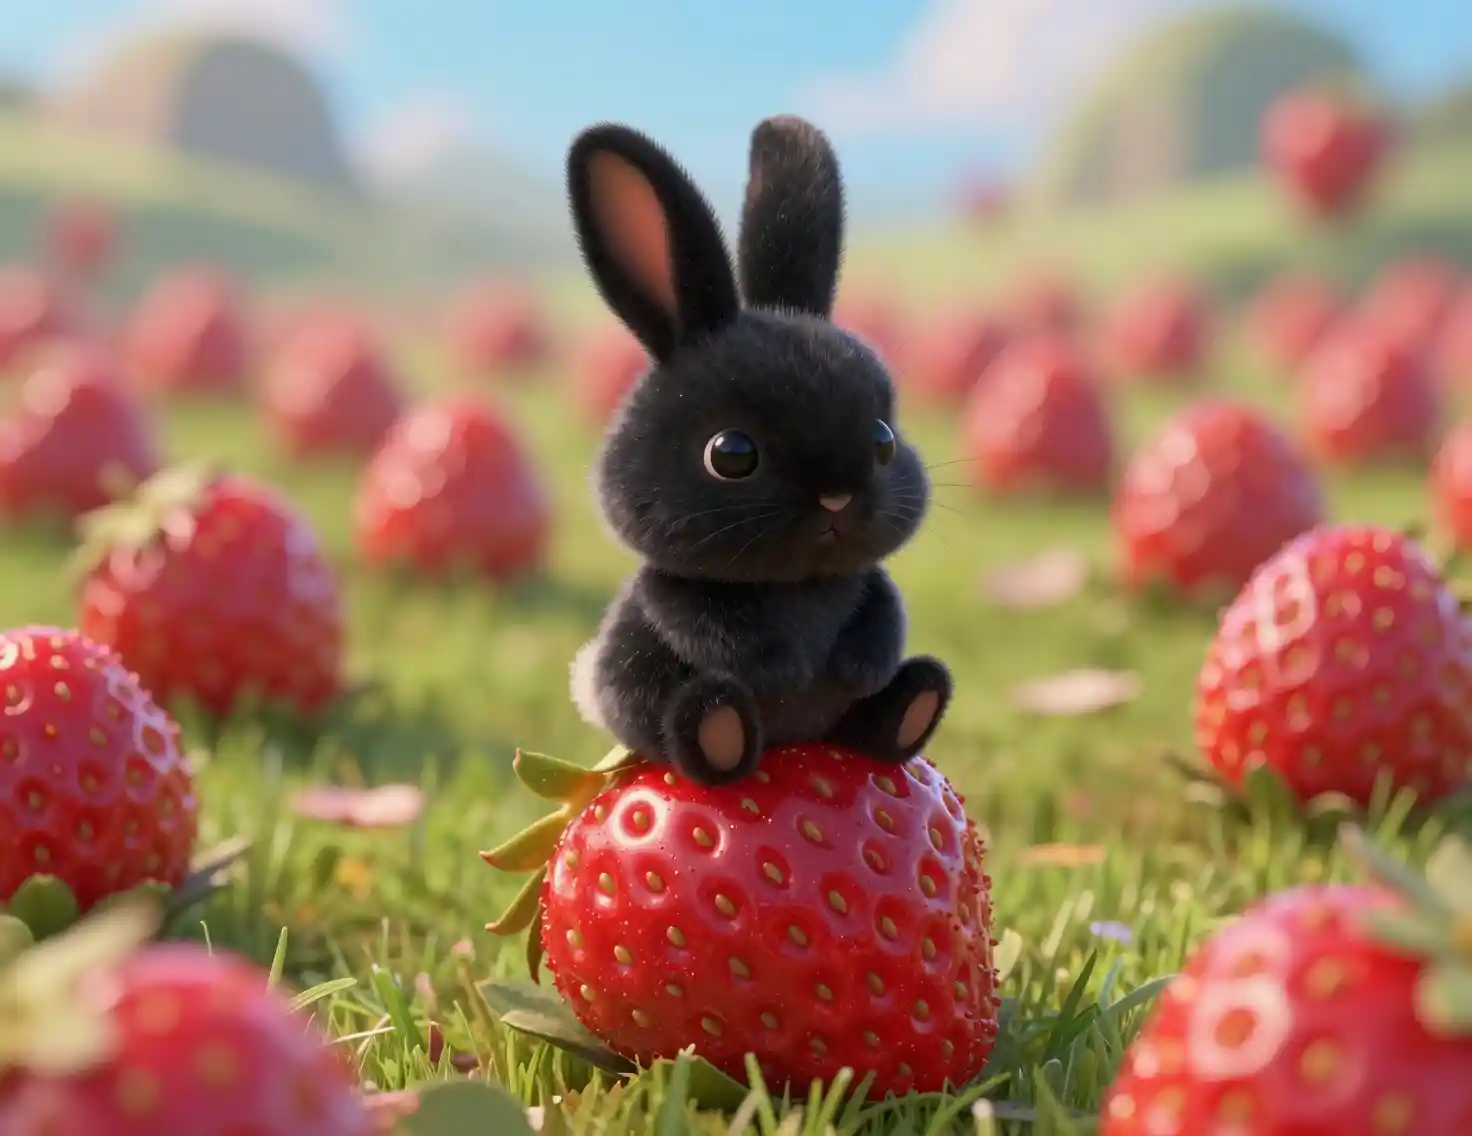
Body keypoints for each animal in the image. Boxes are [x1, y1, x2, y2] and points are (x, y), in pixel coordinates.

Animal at [566, 113, 952, 786]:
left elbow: (882, 607)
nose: (836, 498)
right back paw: (722, 731)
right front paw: (783, 671)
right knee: (695, 721)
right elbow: (710, 625)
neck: (796, 587)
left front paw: (857, 666)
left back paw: (915, 704)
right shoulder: (678, 593)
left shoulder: (869, 583)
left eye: (883, 441)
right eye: (730, 455)